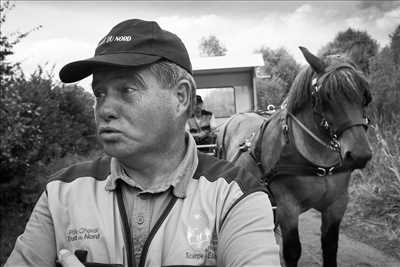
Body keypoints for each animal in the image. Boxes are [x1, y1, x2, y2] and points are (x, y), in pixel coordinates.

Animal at [216, 47, 372, 266]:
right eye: (326, 96)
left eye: (365, 95)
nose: (359, 154)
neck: (320, 162)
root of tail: (237, 116)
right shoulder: (287, 206)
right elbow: (292, 251)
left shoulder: (337, 204)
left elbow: (330, 247)